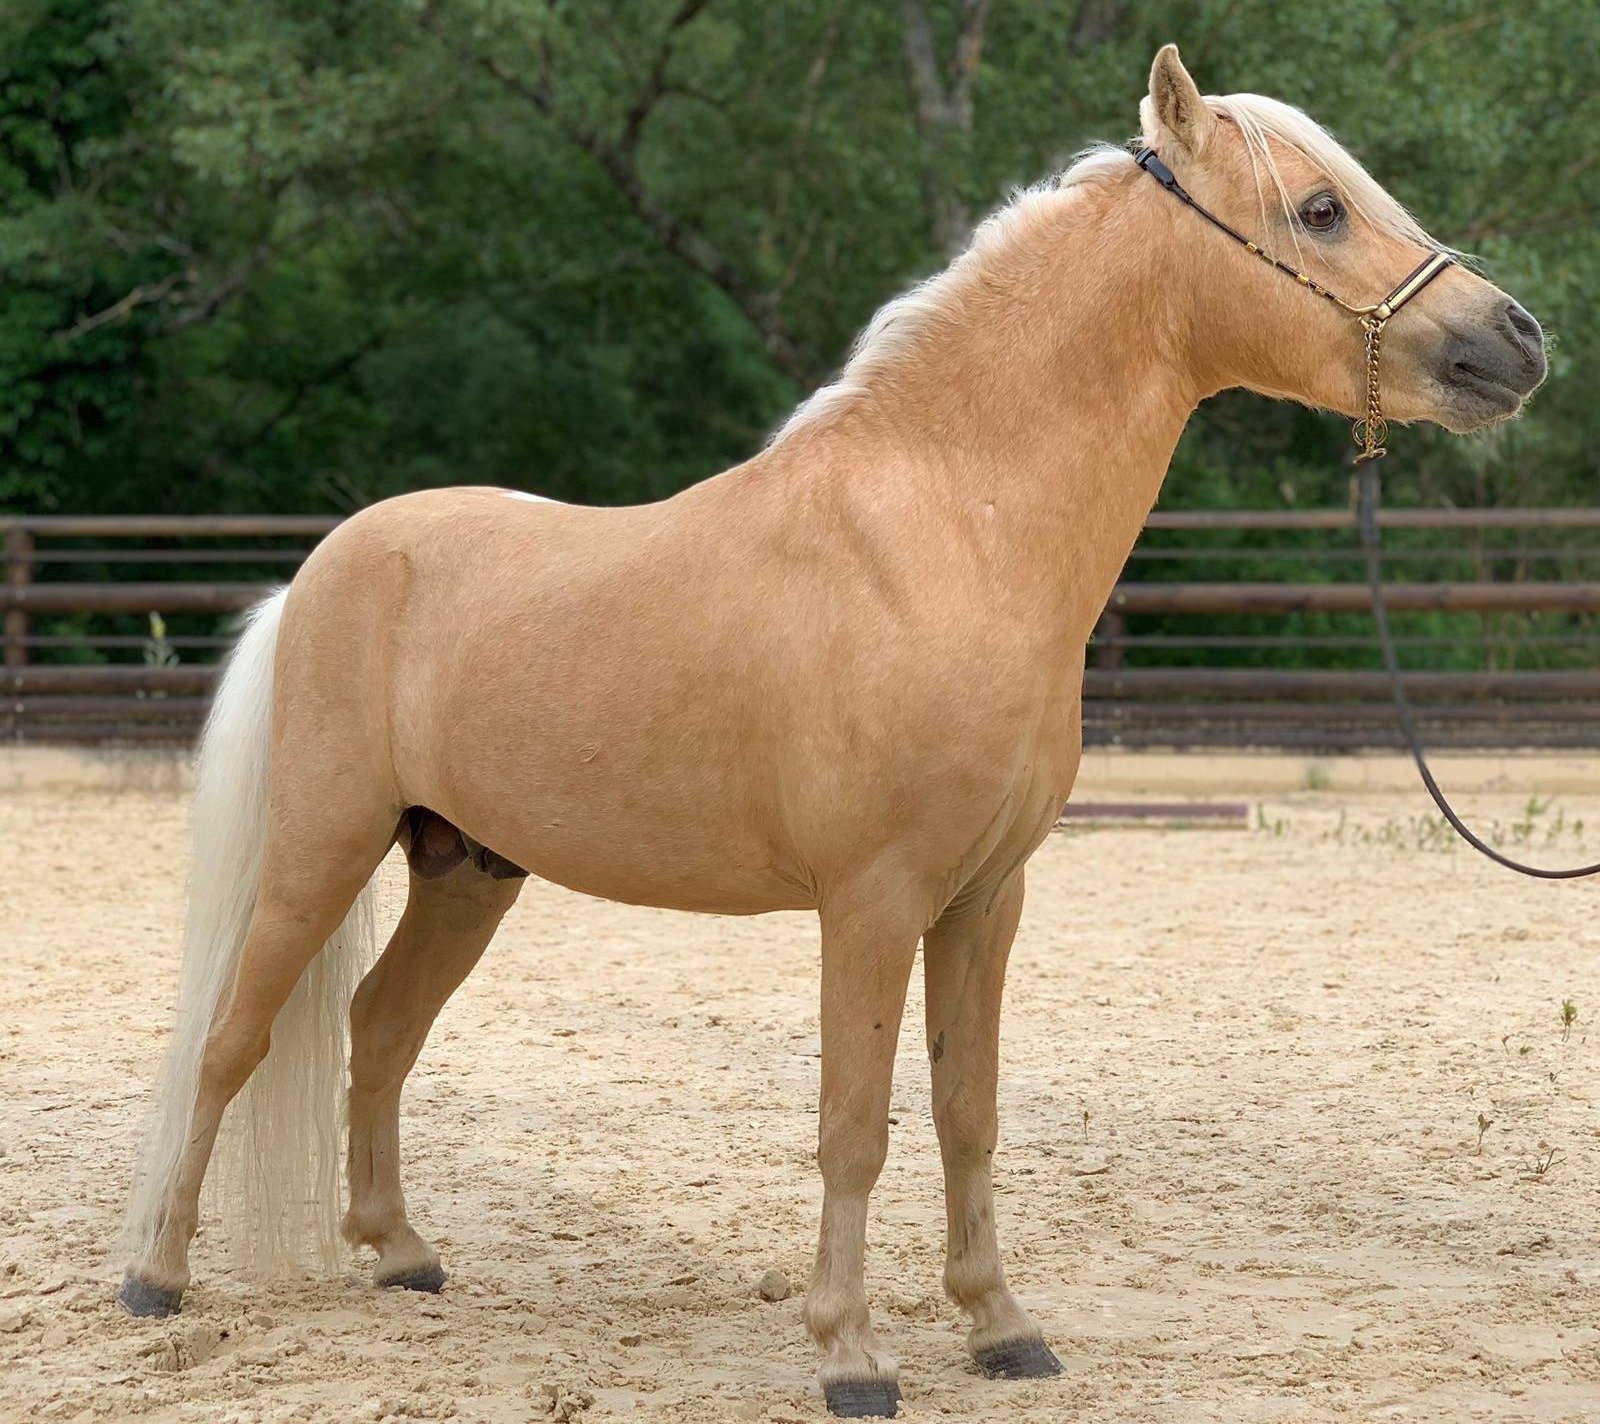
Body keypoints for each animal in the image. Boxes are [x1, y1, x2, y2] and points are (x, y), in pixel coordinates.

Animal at [118, 41, 1542, 1408]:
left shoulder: (984, 897)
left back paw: (400, 1251)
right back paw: (157, 1276)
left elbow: (966, 1108)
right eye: (1319, 207)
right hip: (320, 847)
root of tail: (324, 568)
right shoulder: (873, 899)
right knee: (230, 1039)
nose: (1515, 340)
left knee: (378, 1027)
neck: (944, 533)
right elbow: (855, 1119)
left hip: (467, 868)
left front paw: (1001, 1327)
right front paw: (851, 1353)